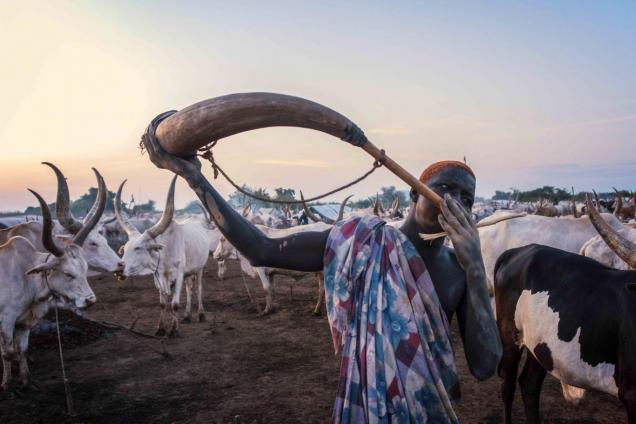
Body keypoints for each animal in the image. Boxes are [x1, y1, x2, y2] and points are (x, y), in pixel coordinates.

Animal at [0, 190, 97, 390]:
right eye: (68, 274)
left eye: (85, 269)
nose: (90, 300)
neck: (25, 275)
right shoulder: (6, 320)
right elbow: (7, 352)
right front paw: (6, 385)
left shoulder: (23, 322)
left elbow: (21, 350)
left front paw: (25, 381)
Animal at [115, 176, 210, 334]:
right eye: (125, 249)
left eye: (138, 248)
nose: (119, 269)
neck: (164, 254)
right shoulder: (158, 276)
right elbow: (163, 303)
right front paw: (160, 329)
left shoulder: (178, 274)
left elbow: (175, 304)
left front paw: (174, 330)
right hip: (188, 272)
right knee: (189, 289)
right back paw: (187, 316)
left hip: (200, 268)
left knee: (199, 288)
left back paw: (201, 314)